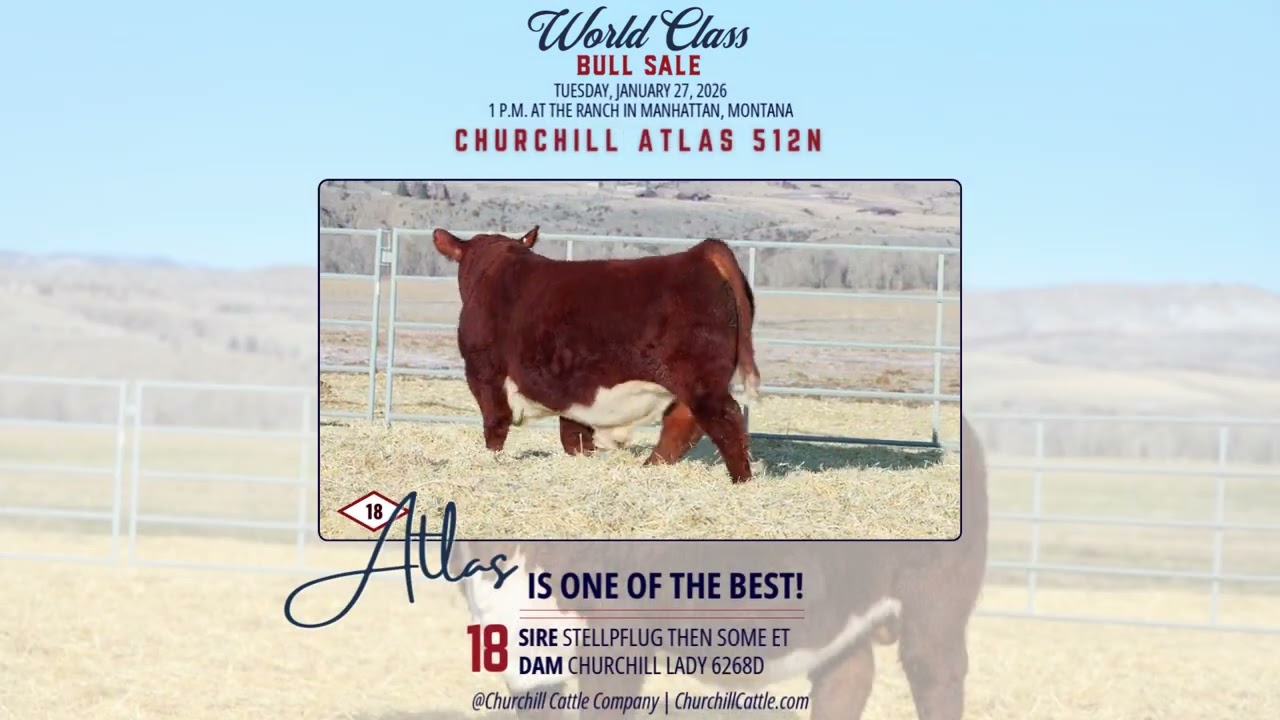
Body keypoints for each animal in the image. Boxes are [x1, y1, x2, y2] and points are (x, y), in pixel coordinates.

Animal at [432, 226, 762, 482]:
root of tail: (701, 252)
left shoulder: (485, 373)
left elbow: (495, 424)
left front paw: (491, 460)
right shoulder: (570, 388)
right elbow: (574, 434)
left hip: (701, 380)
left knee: (725, 421)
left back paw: (741, 481)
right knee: (681, 425)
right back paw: (649, 469)